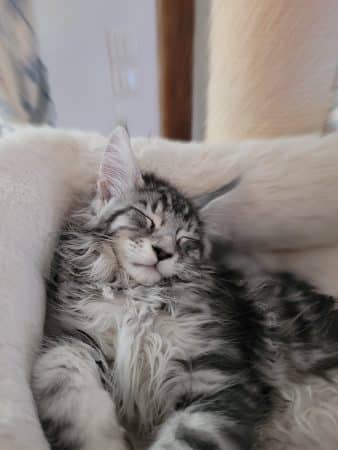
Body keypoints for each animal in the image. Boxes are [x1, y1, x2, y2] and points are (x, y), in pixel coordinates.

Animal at [33, 126, 338, 450]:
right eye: (146, 219)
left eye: (185, 240)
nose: (163, 252)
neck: (138, 297)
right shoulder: (75, 335)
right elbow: (62, 374)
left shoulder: (222, 377)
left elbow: (185, 438)